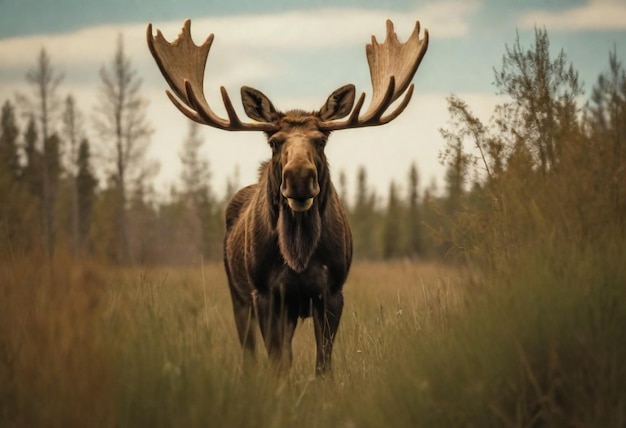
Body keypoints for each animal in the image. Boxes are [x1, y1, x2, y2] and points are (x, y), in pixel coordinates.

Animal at [147, 20, 428, 374]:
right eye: (274, 141)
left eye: (321, 139)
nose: (299, 178)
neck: (299, 253)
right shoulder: (266, 294)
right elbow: (277, 363)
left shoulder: (331, 291)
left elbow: (322, 365)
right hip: (238, 294)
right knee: (250, 352)